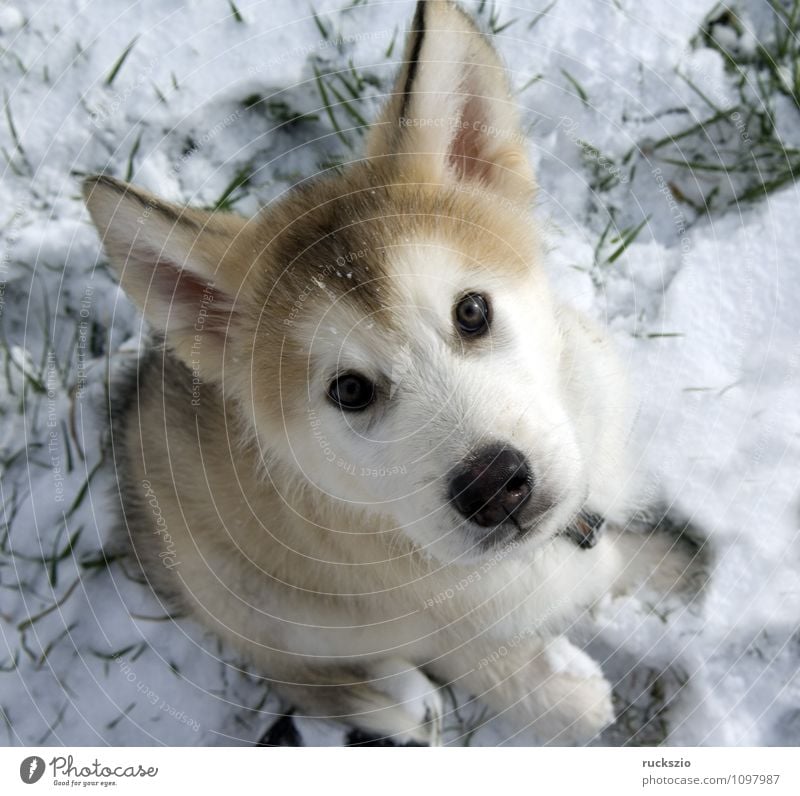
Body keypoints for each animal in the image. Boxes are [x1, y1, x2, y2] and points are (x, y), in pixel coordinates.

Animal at [83, 1, 692, 748]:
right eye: (349, 390)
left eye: (471, 311)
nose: (494, 487)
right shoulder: (414, 610)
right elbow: (482, 656)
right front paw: (565, 699)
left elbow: (611, 563)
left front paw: (679, 572)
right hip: (243, 592)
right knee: (296, 667)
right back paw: (399, 700)